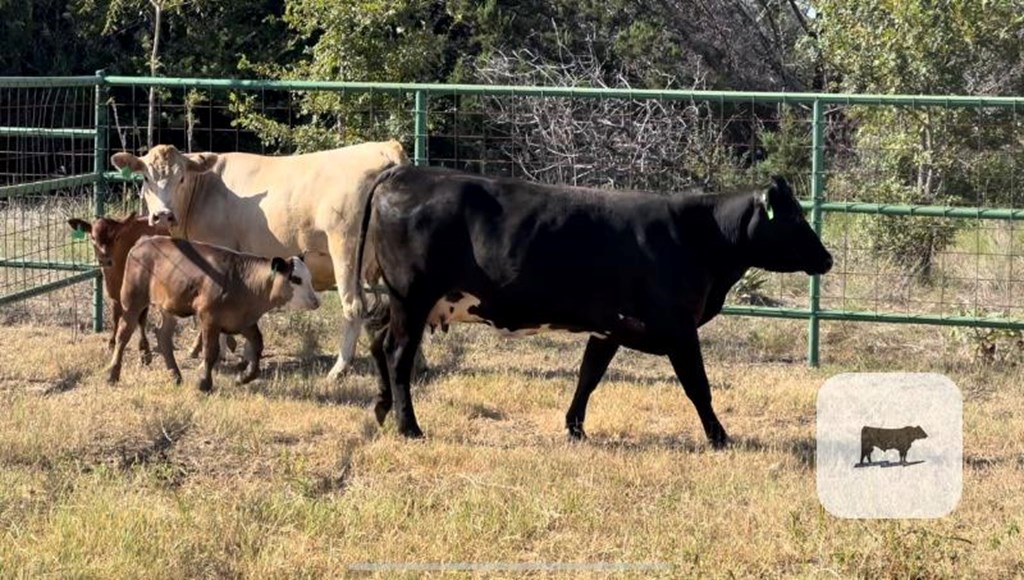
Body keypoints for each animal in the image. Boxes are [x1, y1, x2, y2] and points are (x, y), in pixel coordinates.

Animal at [108, 238, 319, 393]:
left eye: (309, 277)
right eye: (296, 279)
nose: (316, 301)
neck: (243, 281)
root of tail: (143, 242)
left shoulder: (244, 321)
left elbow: (258, 345)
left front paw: (244, 377)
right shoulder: (209, 319)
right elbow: (211, 352)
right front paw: (204, 383)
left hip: (168, 307)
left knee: (163, 336)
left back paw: (175, 375)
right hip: (132, 301)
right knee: (123, 335)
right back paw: (112, 374)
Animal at [112, 139, 407, 377]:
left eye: (181, 178)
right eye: (146, 178)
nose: (163, 215)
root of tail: (386, 147)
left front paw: (217, 357)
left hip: (345, 249)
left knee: (354, 307)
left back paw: (339, 369)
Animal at [352, 166, 831, 448]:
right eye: (793, 218)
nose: (827, 258)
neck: (697, 234)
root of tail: (405, 172)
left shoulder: (610, 328)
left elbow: (589, 376)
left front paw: (575, 427)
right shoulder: (679, 329)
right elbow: (698, 386)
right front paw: (719, 437)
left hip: (402, 301)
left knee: (377, 339)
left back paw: (382, 407)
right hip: (411, 296)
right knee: (398, 353)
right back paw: (409, 426)